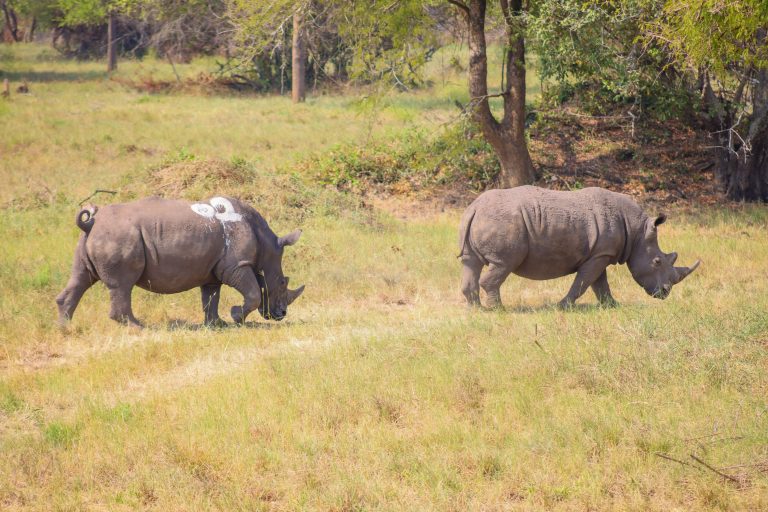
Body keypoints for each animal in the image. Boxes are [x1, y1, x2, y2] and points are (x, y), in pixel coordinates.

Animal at [56, 196, 305, 328]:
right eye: (282, 283)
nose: (281, 315)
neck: (266, 244)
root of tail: (91, 222)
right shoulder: (237, 266)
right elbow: (253, 293)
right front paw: (236, 317)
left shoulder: (213, 270)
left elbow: (211, 297)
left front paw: (217, 325)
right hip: (118, 236)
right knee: (122, 285)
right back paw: (139, 327)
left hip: (93, 238)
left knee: (81, 278)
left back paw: (65, 328)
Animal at [458, 186, 700, 308]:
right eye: (657, 261)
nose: (665, 293)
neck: (637, 232)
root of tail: (474, 207)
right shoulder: (599, 254)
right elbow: (584, 282)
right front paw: (562, 306)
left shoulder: (600, 253)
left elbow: (599, 283)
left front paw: (612, 306)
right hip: (504, 222)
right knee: (504, 264)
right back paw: (498, 310)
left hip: (483, 219)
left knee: (471, 262)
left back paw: (476, 309)